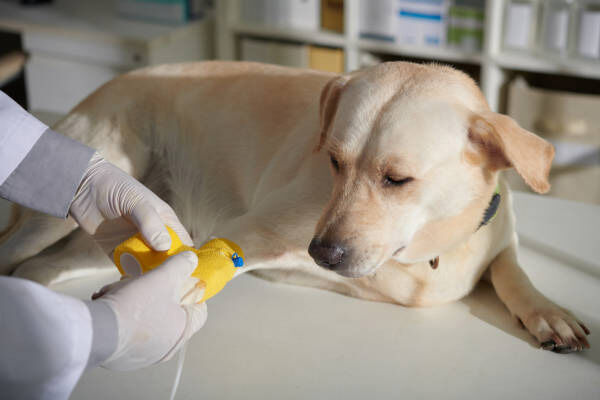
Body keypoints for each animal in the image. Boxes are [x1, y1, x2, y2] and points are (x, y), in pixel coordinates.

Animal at [0, 61, 590, 353]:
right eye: (333, 161)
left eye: (397, 178)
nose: (322, 253)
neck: (426, 254)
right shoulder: (254, 230)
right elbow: (205, 263)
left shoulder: (500, 238)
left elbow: (512, 271)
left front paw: (549, 313)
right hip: (63, 207)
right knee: (15, 250)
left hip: (97, 239)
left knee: (36, 269)